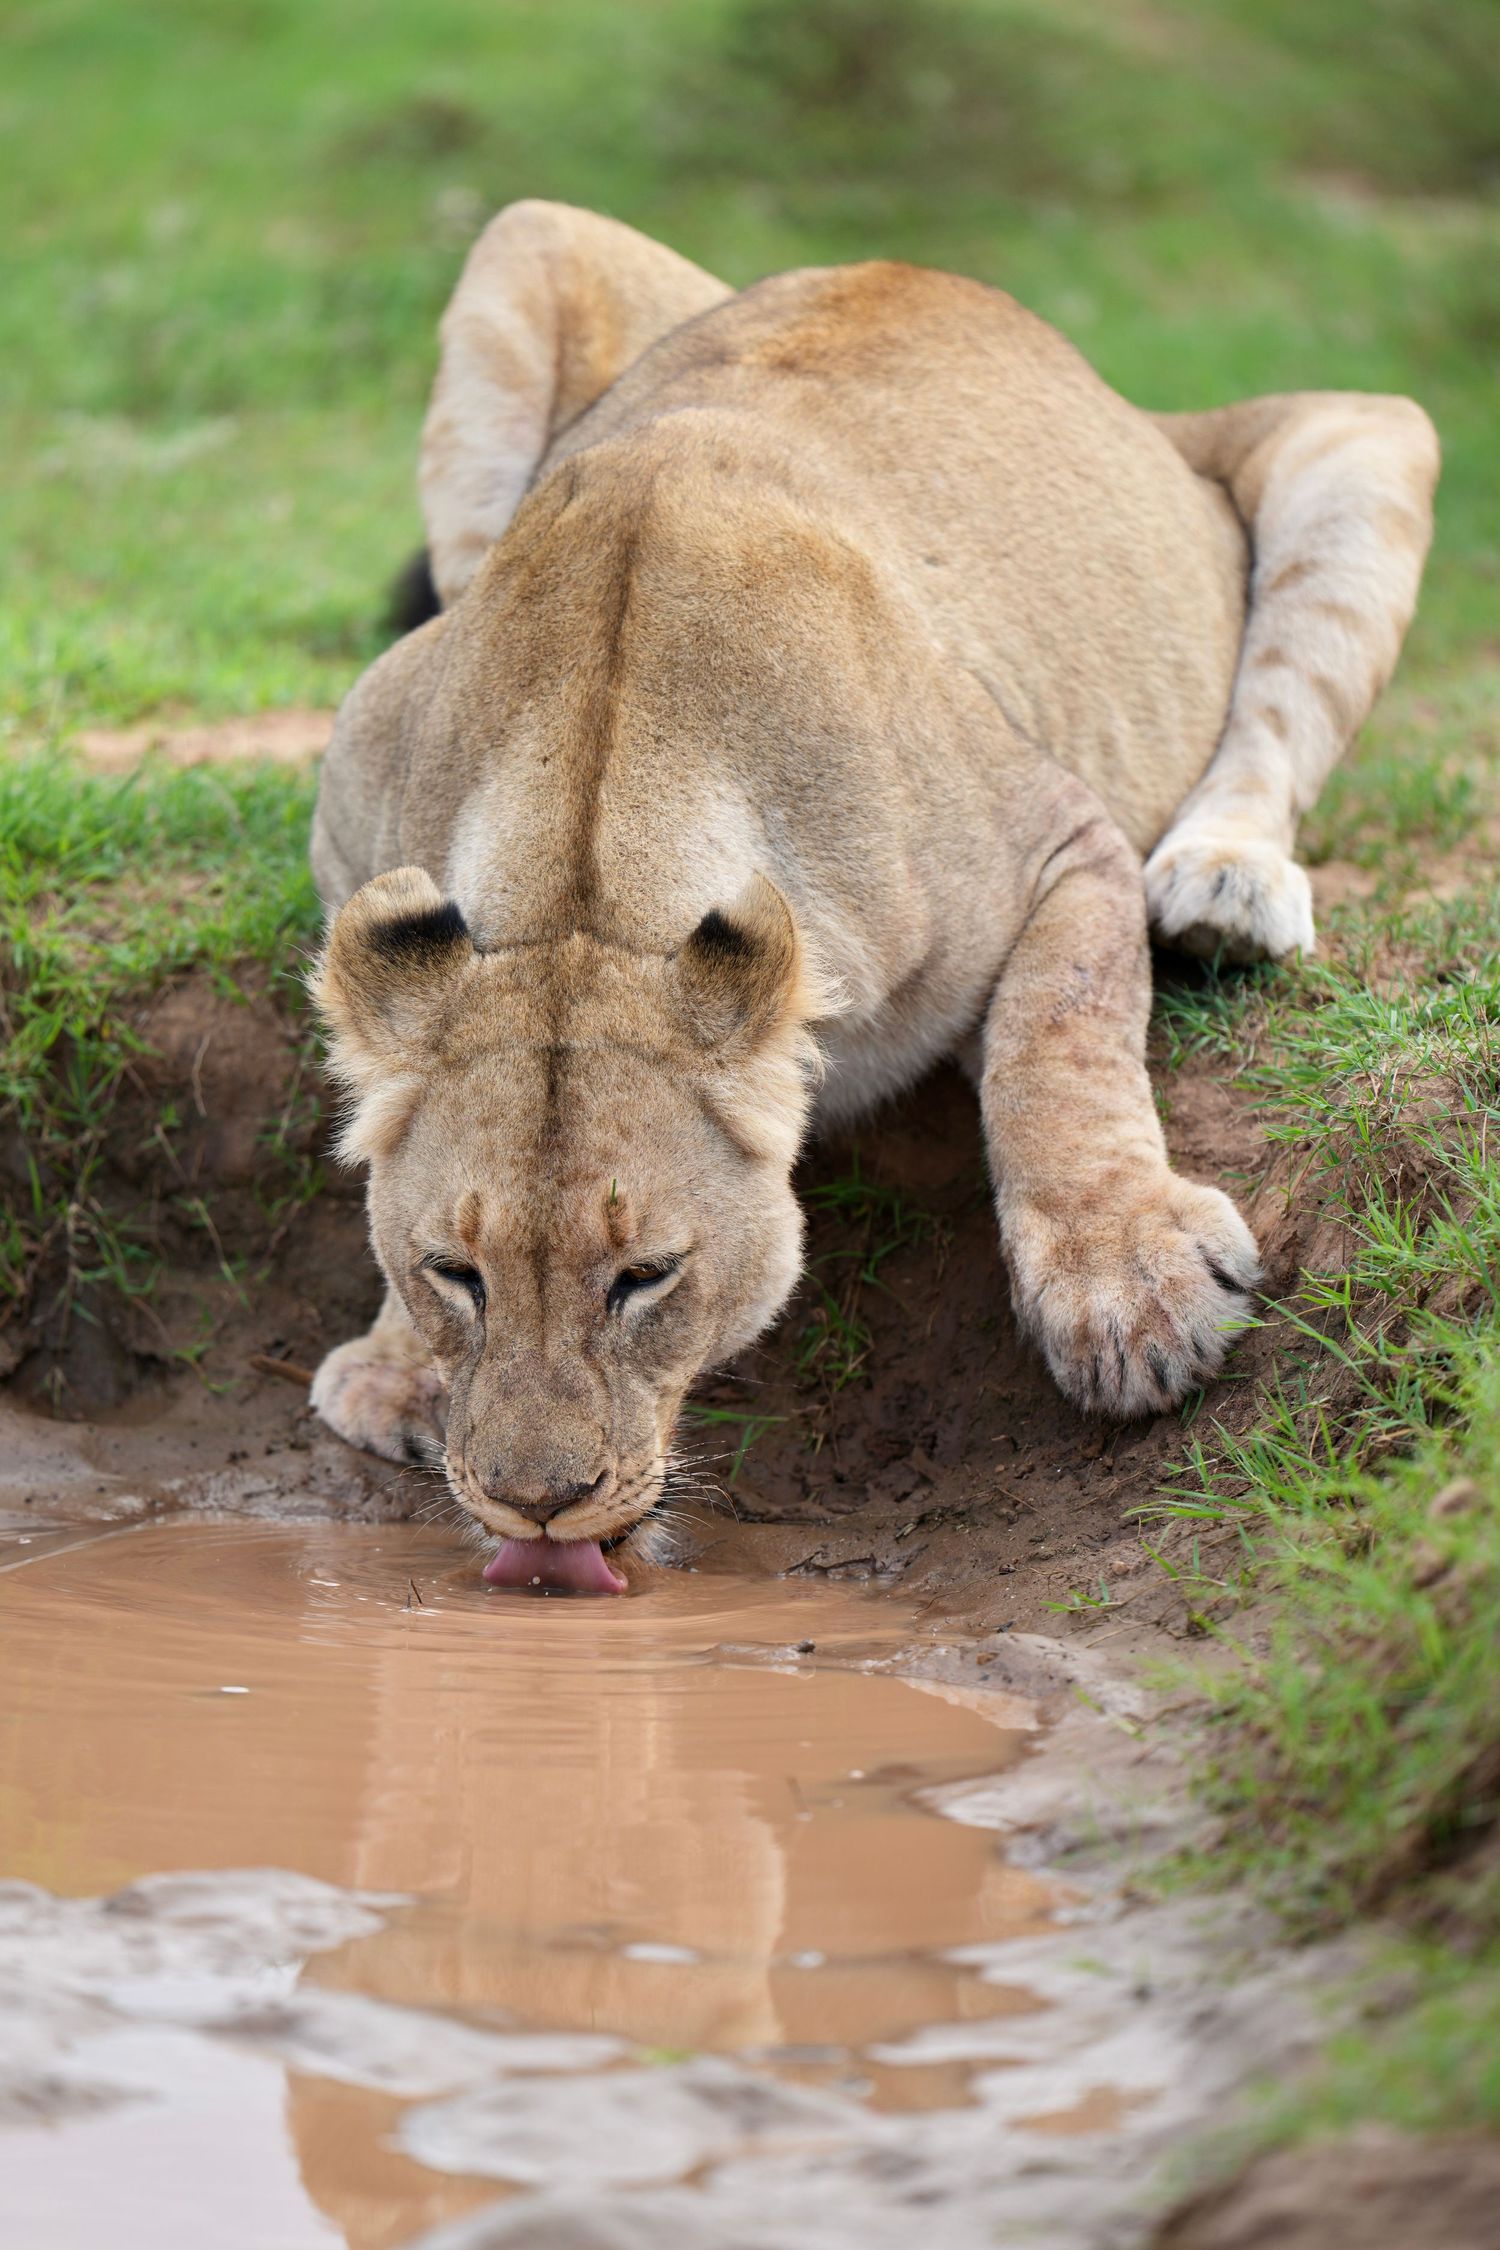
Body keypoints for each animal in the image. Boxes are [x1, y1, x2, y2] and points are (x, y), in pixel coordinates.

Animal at [307, 201, 1437, 1592]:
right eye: (453, 1271)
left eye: (646, 1277)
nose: (535, 1506)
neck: (589, 853)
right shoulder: (356, 798)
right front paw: (395, 1366)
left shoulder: (1060, 839)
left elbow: (1059, 1041)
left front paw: (1130, 1288)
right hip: (528, 245)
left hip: (1362, 439)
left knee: (1277, 721)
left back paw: (1224, 889)